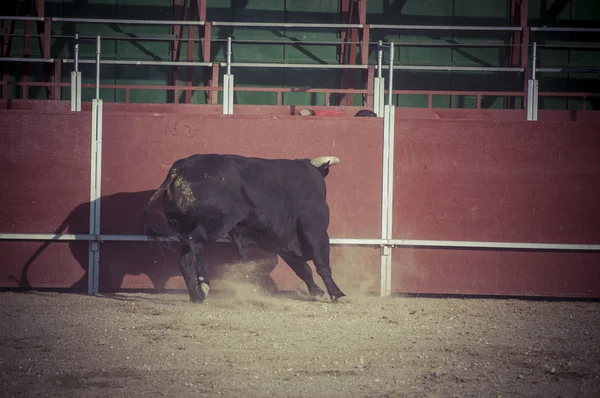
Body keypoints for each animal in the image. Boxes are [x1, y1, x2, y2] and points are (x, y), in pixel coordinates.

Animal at [144, 154, 346, 304]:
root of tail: (182, 165)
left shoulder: (284, 244)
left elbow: (304, 269)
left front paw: (317, 291)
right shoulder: (316, 232)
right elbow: (322, 265)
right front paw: (337, 294)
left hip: (186, 226)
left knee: (185, 259)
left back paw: (196, 296)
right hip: (217, 222)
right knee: (196, 241)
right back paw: (204, 284)